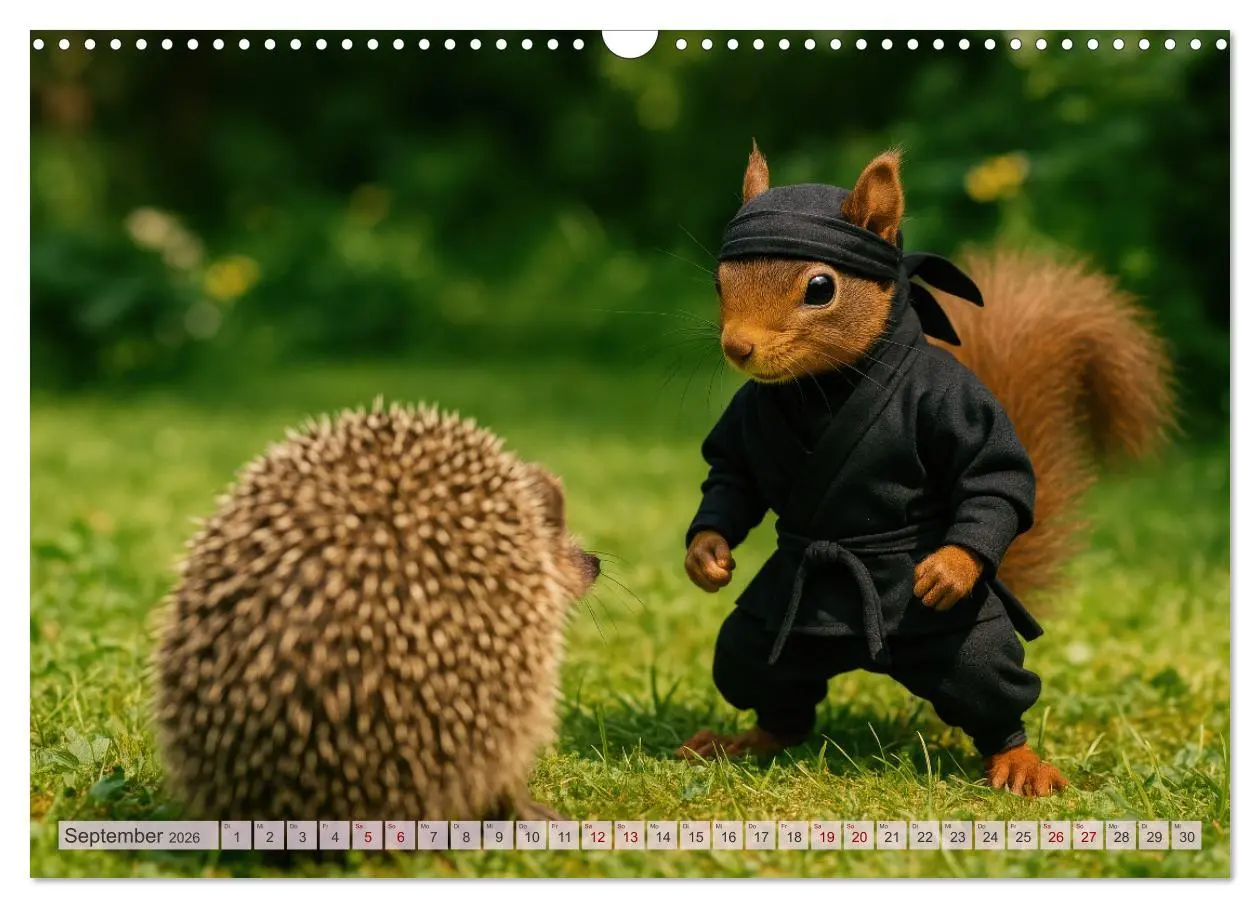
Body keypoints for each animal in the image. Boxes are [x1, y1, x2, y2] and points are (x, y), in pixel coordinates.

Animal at [676, 143, 1173, 797]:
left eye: (820, 287)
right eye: (718, 281)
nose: (738, 347)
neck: (826, 385)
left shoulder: (952, 402)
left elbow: (991, 477)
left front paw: (948, 569)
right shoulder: (748, 422)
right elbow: (733, 477)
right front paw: (706, 555)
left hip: (963, 641)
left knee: (986, 681)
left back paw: (1017, 760)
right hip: (771, 636)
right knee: (763, 677)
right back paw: (749, 739)